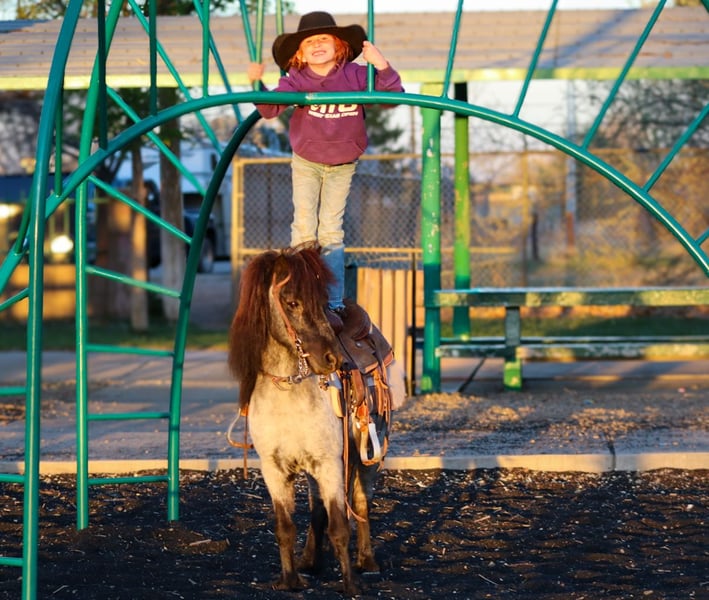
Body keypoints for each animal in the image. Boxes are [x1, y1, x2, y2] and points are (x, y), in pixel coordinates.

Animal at [227, 245, 395, 595]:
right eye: (291, 302)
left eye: (320, 301)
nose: (332, 359)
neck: (288, 395)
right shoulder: (275, 470)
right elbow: (285, 526)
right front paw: (291, 579)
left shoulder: (330, 463)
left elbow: (340, 527)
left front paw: (350, 585)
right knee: (317, 510)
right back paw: (310, 559)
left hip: (369, 456)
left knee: (361, 503)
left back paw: (367, 560)